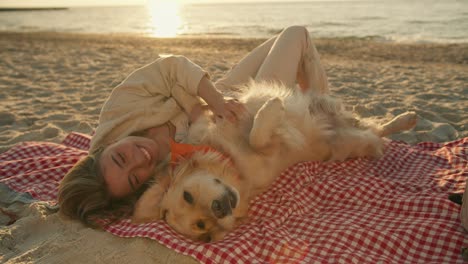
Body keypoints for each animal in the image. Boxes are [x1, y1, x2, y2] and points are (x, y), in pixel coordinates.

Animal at [133, 81, 416, 242]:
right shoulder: (270, 153)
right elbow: (258, 137)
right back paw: (405, 121)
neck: (230, 158)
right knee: (376, 133)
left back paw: (407, 118)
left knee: (376, 127)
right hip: (354, 143)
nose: (220, 209)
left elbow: (207, 104)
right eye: (203, 228)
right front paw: (273, 107)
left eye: (188, 196)